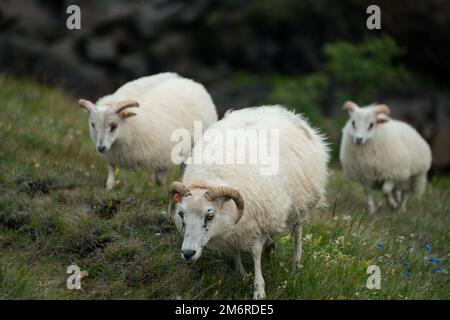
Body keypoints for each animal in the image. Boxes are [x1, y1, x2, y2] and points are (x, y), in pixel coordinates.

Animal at [78, 72, 218, 188]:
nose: (101, 148)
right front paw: (109, 186)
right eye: (93, 124)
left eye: (113, 125)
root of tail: (188, 80)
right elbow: (111, 169)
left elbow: (159, 180)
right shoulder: (112, 154)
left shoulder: (164, 156)